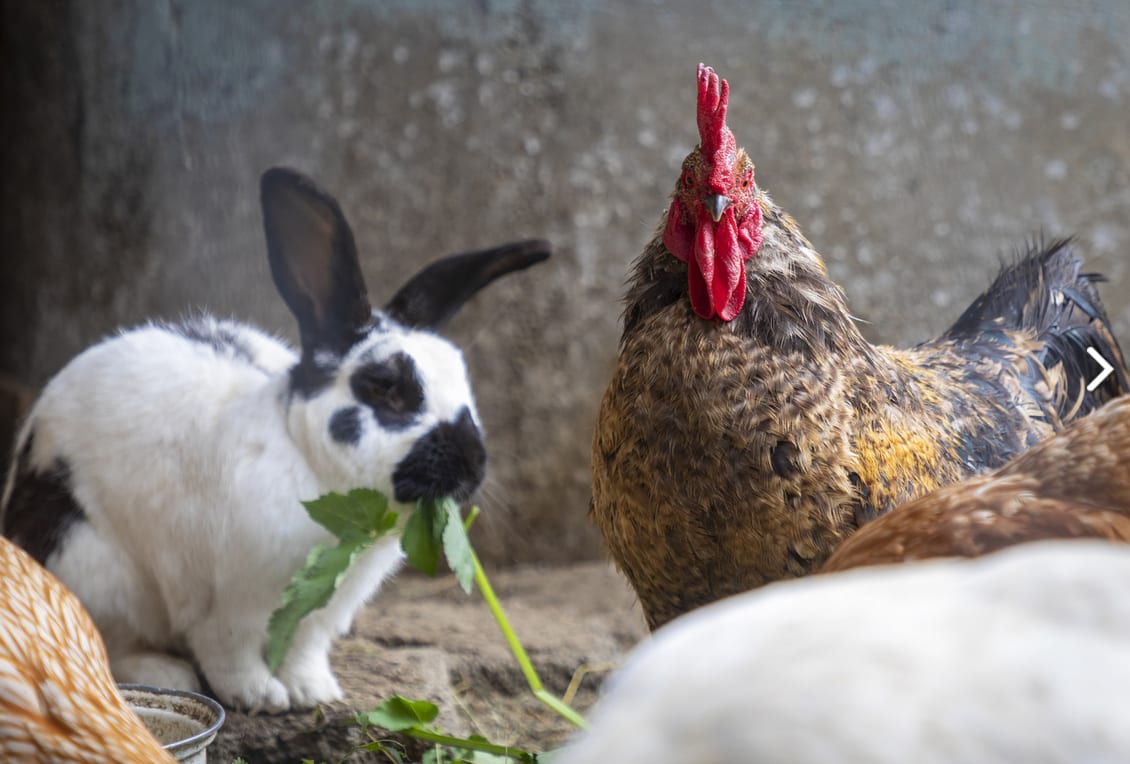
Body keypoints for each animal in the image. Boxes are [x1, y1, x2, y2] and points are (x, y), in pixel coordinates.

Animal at [0, 166, 551, 713]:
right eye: (385, 388)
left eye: (464, 380)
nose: (473, 464)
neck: (308, 463)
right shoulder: (228, 601)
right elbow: (230, 652)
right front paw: (260, 696)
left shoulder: (322, 607)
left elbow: (304, 647)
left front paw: (313, 692)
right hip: (92, 566)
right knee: (110, 642)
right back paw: (167, 672)